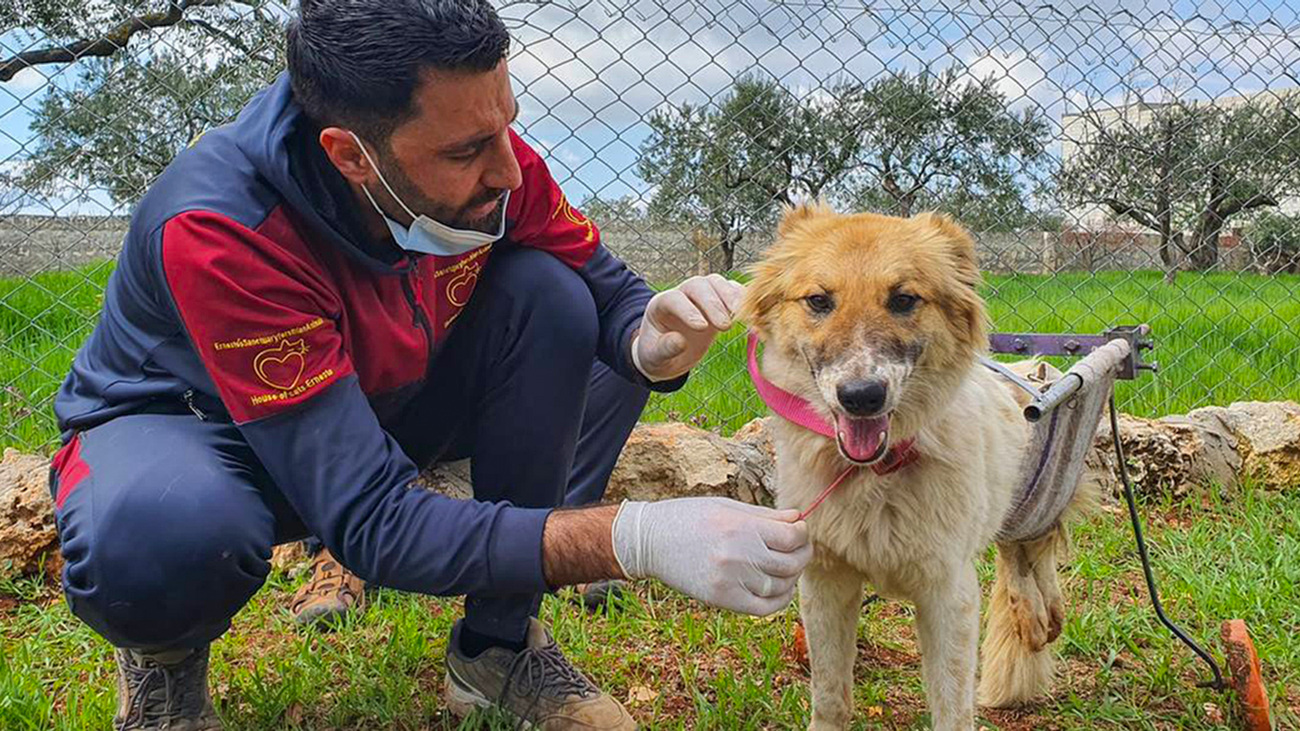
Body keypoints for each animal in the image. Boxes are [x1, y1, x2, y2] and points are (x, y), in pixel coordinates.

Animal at [738, 201, 1092, 728]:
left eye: (904, 299)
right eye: (819, 300)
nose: (862, 397)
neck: (876, 475)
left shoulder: (949, 593)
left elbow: (951, 708)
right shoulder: (826, 583)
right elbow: (830, 698)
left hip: (1036, 501)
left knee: (1035, 552)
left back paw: (1040, 615)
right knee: (1017, 558)